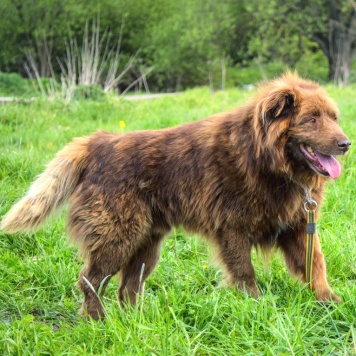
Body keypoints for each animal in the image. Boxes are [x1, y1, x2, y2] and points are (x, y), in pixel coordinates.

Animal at [0, 72, 350, 320]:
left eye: (334, 117)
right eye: (311, 119)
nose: (346, 144)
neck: (269, 161)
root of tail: (97, 143)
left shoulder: (298, 226)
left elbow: (316, 266)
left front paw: (329, 302)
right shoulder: (233, 229)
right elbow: (245, 273)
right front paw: (257, 307)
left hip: (146, 243)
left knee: (128, 287)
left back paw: (137, 323)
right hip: (117, 236)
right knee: (91, 279)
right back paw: (98, 322)